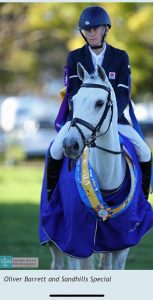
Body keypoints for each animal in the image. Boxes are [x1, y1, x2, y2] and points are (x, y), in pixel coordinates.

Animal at [48, 63, 131, 270]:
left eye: (100, 103)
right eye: (73, 101)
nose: (70, 145)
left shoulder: (123, 240)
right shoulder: (73, 238)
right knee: (57, 264)